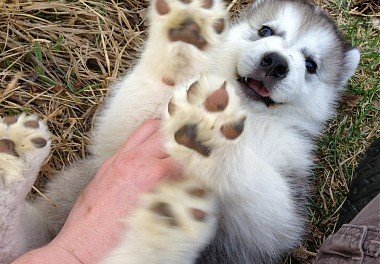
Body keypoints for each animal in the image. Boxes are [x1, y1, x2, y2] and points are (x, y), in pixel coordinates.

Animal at [0, 0, 360, 264]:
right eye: (265, 30)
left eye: (310, 65)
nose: (275, 62)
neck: (246, 109)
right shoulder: (121, 136)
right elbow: (144, 95)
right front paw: (183, 39)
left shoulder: (279, 214)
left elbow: (258, 185)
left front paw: (212, 135)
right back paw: (14, 162)